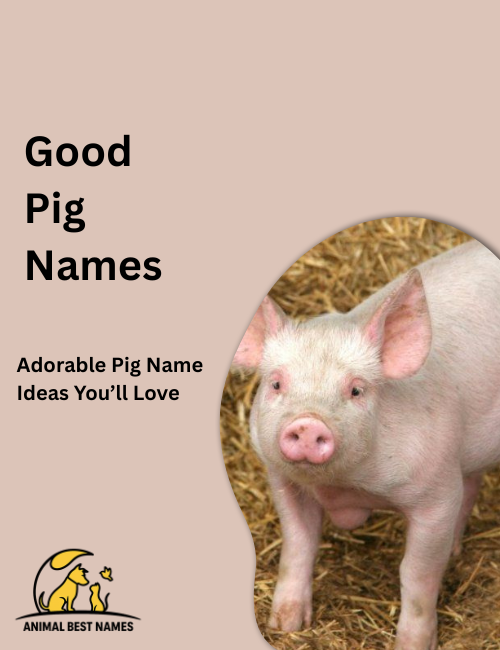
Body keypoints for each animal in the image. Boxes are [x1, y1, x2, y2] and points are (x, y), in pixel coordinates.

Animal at [232, 239, 500, 650]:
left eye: (356, 389)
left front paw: (411, 645)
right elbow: (298, 545)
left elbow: (416, 574)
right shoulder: (283, 480)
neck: (344, 487)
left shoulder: (436, 493)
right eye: (276, 383)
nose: (308, 422)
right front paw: (285, 626)